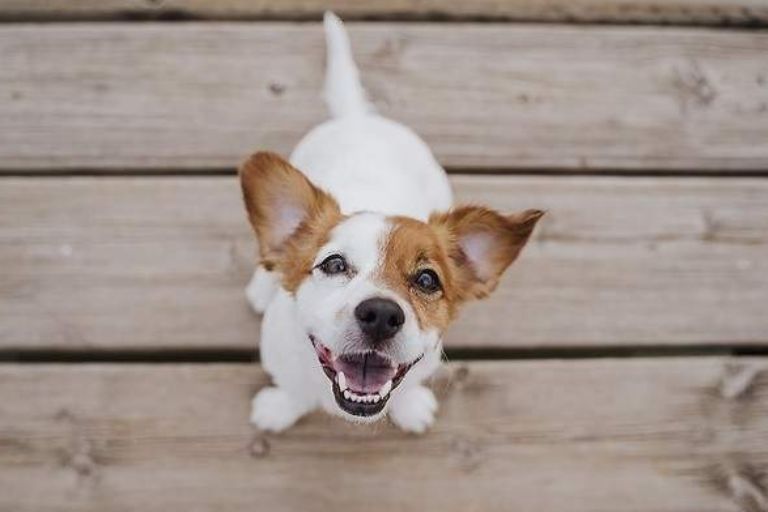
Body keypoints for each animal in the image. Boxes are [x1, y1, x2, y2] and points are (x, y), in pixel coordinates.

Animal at [237, 12, 544, 432]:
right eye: (334, 264)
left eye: (428, 280)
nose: (381, 315)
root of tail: (358, 118)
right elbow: (293, 389)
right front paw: (279, 408)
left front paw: (411, 407)